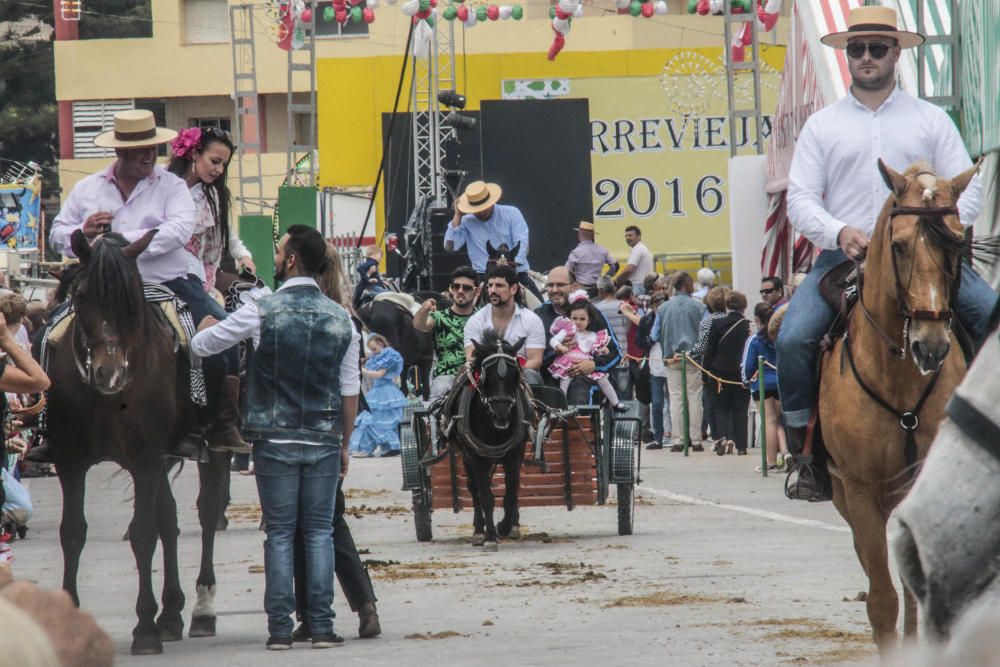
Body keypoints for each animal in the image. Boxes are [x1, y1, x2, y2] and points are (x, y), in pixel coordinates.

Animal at [46, 232, 229, 656]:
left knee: (207, 512)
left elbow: (144, 533)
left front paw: (144, 628)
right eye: (81, 296)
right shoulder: (69, 461)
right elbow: (72, 533)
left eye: (130, 298)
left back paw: (202, 610)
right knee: (170, 520)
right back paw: (172, 615)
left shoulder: (145, 458)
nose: (109, 373)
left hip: (211, 449)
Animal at [820, 160, 976, 652]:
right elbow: (882, 602)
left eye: (957, 241)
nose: (931, 346)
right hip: (844, 495)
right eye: (899, 245)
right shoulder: (861, 490)